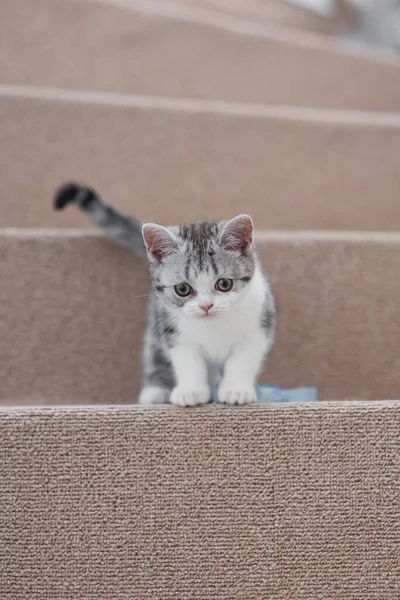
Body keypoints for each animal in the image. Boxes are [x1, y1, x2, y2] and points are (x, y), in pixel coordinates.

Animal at [54, 183, 276, 408]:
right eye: (183, 289)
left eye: (224, 284)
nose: (206, 306)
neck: (212, 327)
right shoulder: (173, 331)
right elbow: (188, 361)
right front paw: (191, 390)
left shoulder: (259, 324)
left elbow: (243, 360)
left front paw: (235, 389)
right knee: (153, 354)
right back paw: (155, 391)